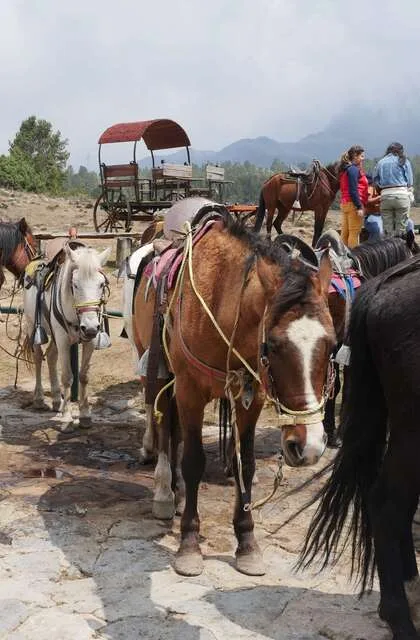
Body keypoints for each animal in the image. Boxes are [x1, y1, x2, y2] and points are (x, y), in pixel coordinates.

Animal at [23, 243, 111, 428]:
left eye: (101, 284)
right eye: (75, 284)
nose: (90, 327)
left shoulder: (90, 341)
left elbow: (84, 376)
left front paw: (85, 415)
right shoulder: (63, 340)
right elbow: (67, 377)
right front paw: (67, 418)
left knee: (50, 356)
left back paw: (57, 400)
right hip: (32, 326)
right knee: (38, 358)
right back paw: (39, 399)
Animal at [133, 209, 336, 577]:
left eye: (331, 344)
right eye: (272, 345)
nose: (309, 446)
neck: (220, 302)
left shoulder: (250, 398)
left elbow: (247, 464)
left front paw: (247, 544)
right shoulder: (189, 390)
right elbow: (193, 460)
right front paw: (189, 545)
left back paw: (177, 494)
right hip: (158, 371)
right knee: (166, 429)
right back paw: (165, 493)